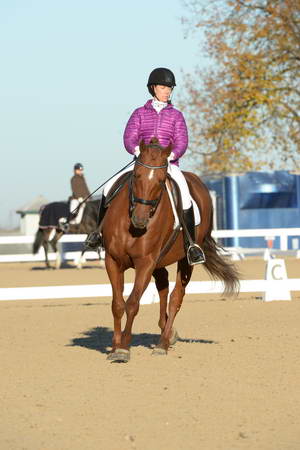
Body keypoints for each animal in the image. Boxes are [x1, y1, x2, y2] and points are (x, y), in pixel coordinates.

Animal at [101, 139, 239, 364]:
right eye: (136, 175)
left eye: (160, 181)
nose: (140, 220)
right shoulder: (112, 261)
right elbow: (117, 304)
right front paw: (114, 347)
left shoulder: (145, 263)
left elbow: (132, 303)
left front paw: (124, 349)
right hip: (159, 262)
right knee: (163, 286)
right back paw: (167, 331)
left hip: (184, 260)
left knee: (176, 297)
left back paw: (163, 343)